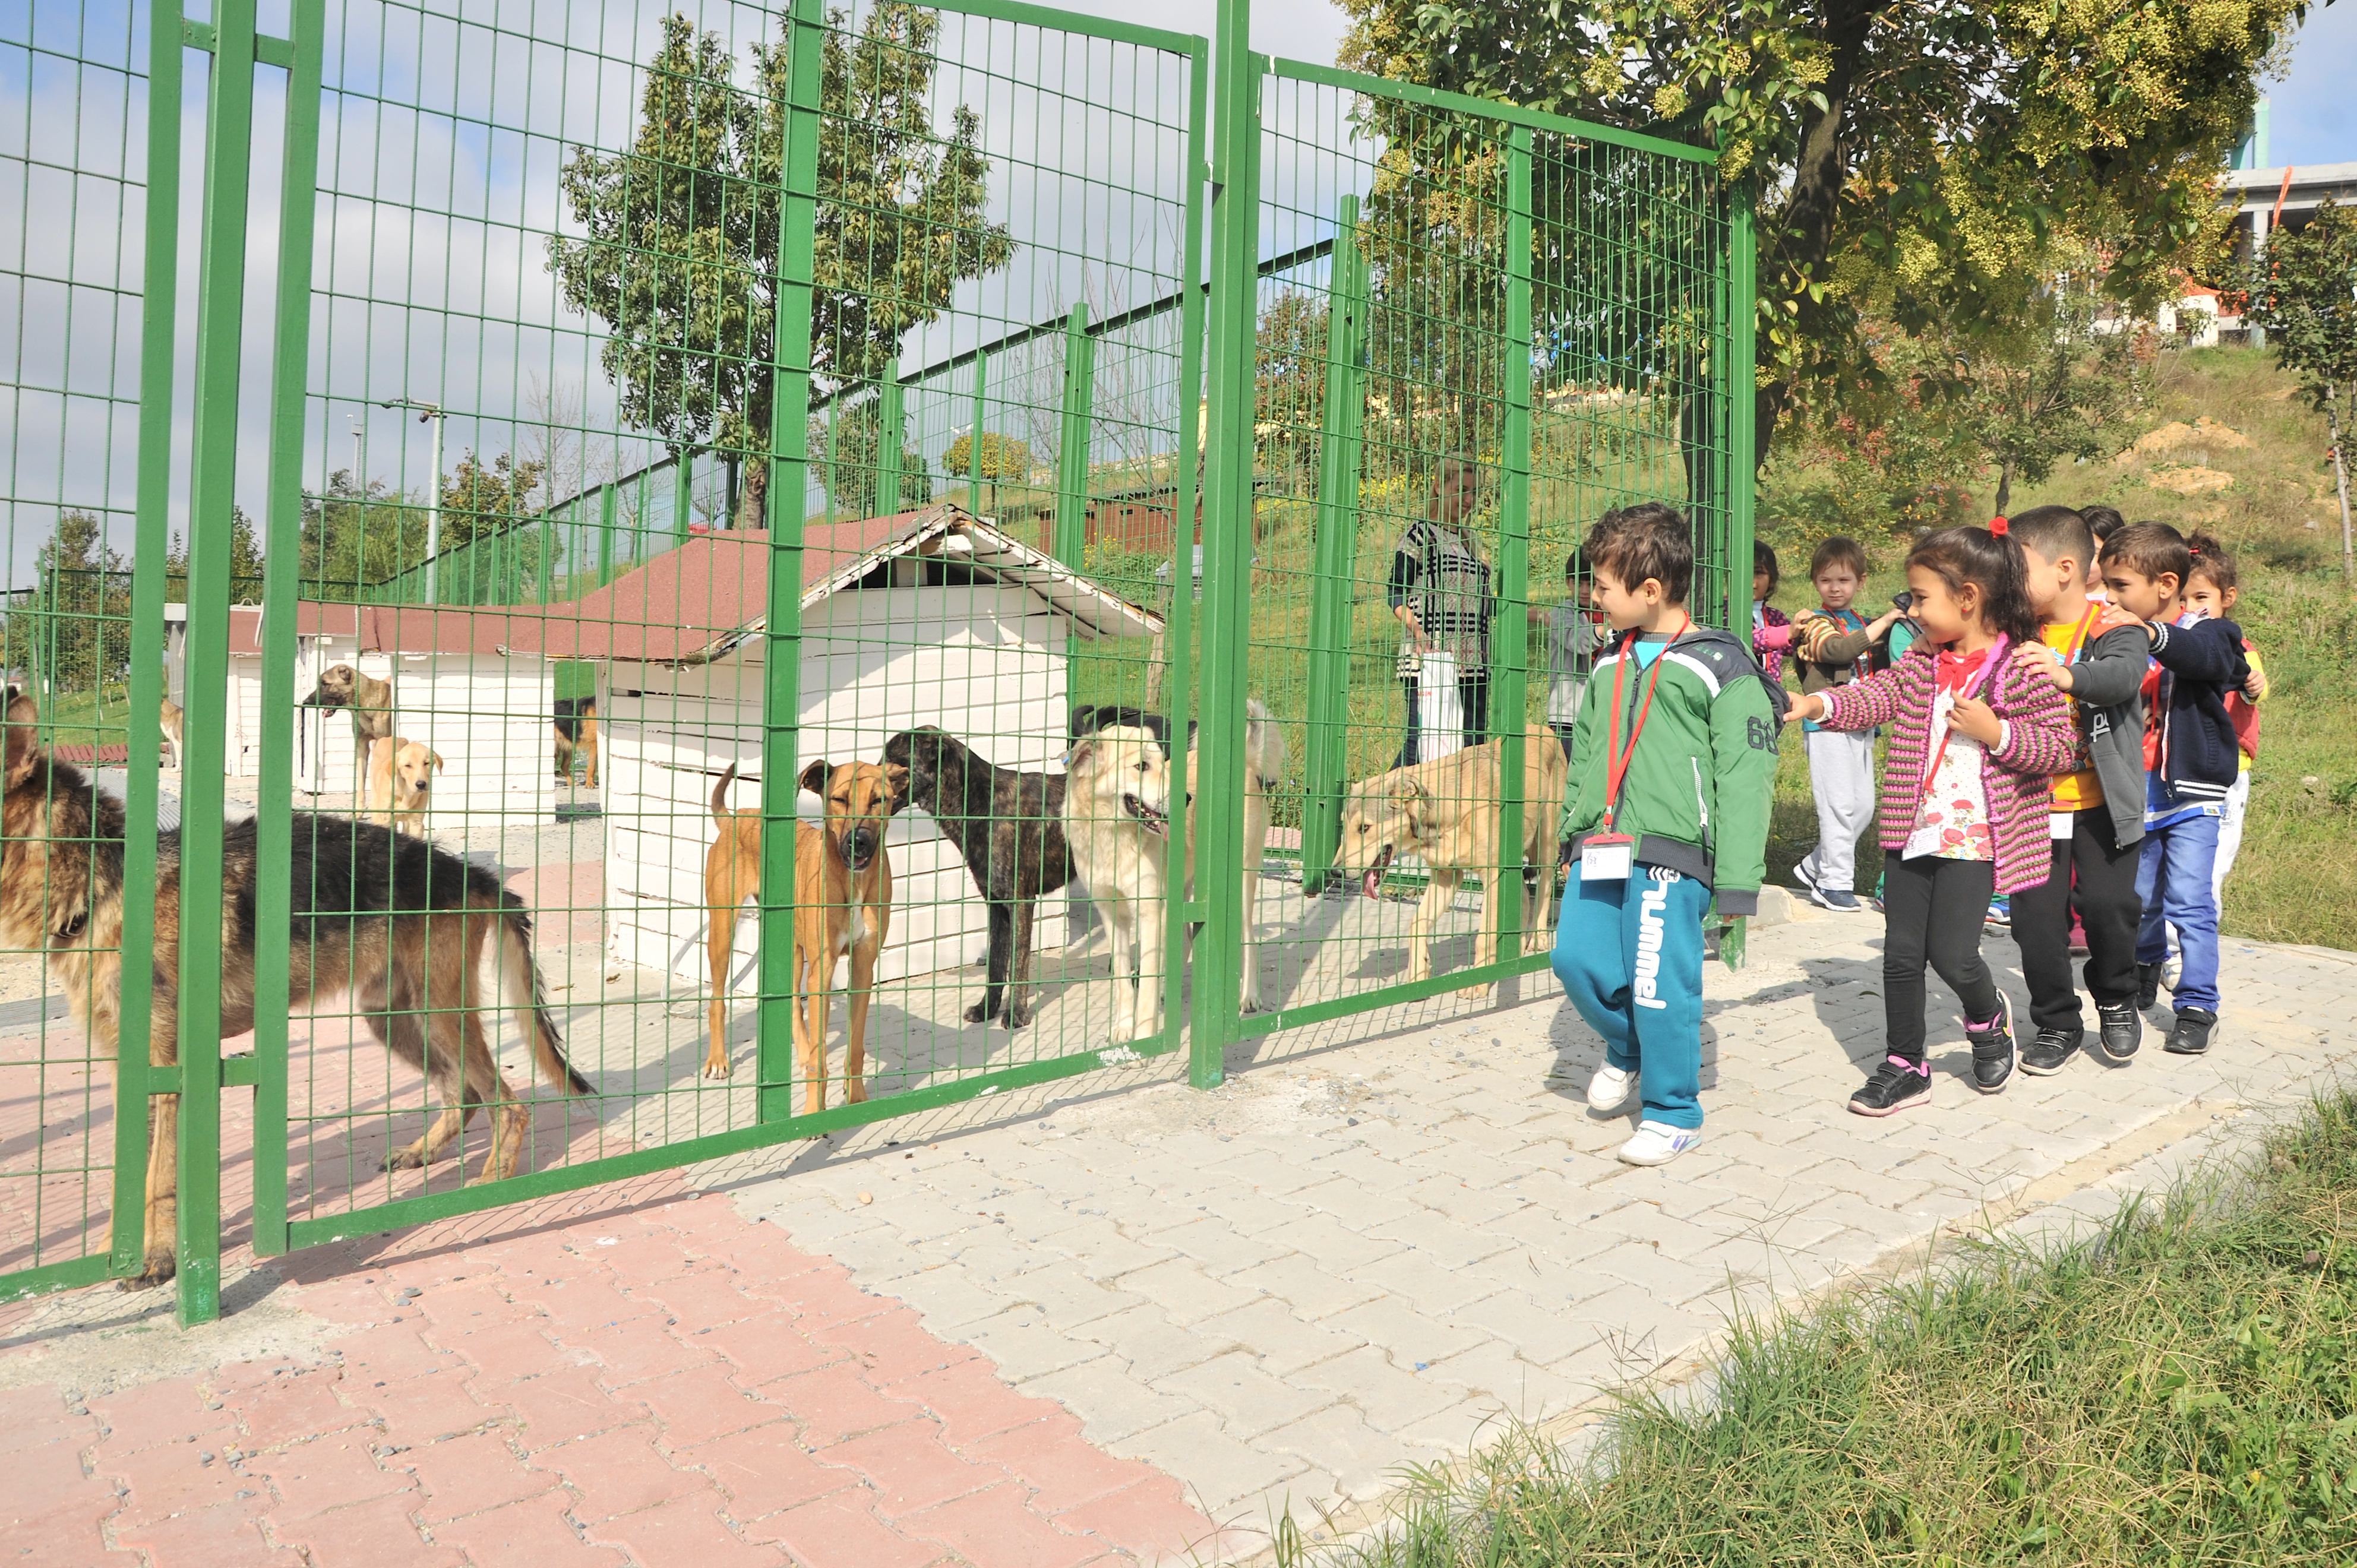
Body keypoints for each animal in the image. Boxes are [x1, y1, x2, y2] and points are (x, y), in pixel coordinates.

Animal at [361, 735, 443, 830]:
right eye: (408, 766)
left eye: (426, 763)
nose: (421, 785)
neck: (405, 792)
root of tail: (390, 737)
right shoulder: (386, 820)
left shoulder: (416, 822)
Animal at [697, 754, 900, 1098]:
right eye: (839, 800)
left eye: (878, 800)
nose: (857, 842)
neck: (853, 881)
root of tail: (737, 817)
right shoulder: (824, 967)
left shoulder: (863, 967)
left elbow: (855, 1047)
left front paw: (857, 1098)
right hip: (723, 932)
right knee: (717, 1001)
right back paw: (717, 1060)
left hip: (790, 946)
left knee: (793, 1004)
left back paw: (805, 1058)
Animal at [1329, 721, 1565, 990]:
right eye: (1345, 825)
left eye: (1364, 828)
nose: (1335, 871)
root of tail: (1542, 728)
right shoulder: (1446, 877)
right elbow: (1416, 924)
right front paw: (1418, 974)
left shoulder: (1492, 878)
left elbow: (1484, 938)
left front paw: (1478, 985)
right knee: (1525, 896)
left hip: (1546, 843)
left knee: (1544, 890)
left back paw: (1537, 939)